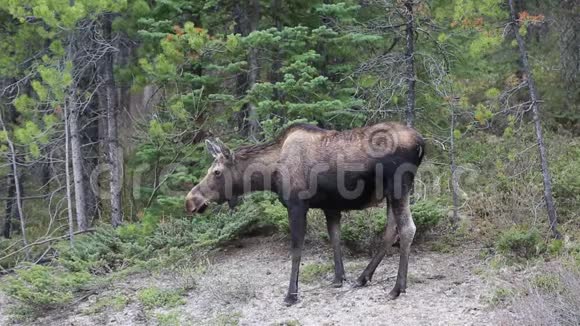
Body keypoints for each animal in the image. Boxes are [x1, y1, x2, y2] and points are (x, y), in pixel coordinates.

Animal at [186, 122, 426, 306]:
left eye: (216, 172)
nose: (190, 201)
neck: (270, 174)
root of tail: (421, 142)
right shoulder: (331, 206)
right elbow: (335, 239)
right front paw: (339, 278)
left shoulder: (297, 205)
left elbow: (296, 250)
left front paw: (291, 294)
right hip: (390, 193)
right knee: (391, 231)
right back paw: (363, 277)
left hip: (398, 186)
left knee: (407, 229)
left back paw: (397, 288)